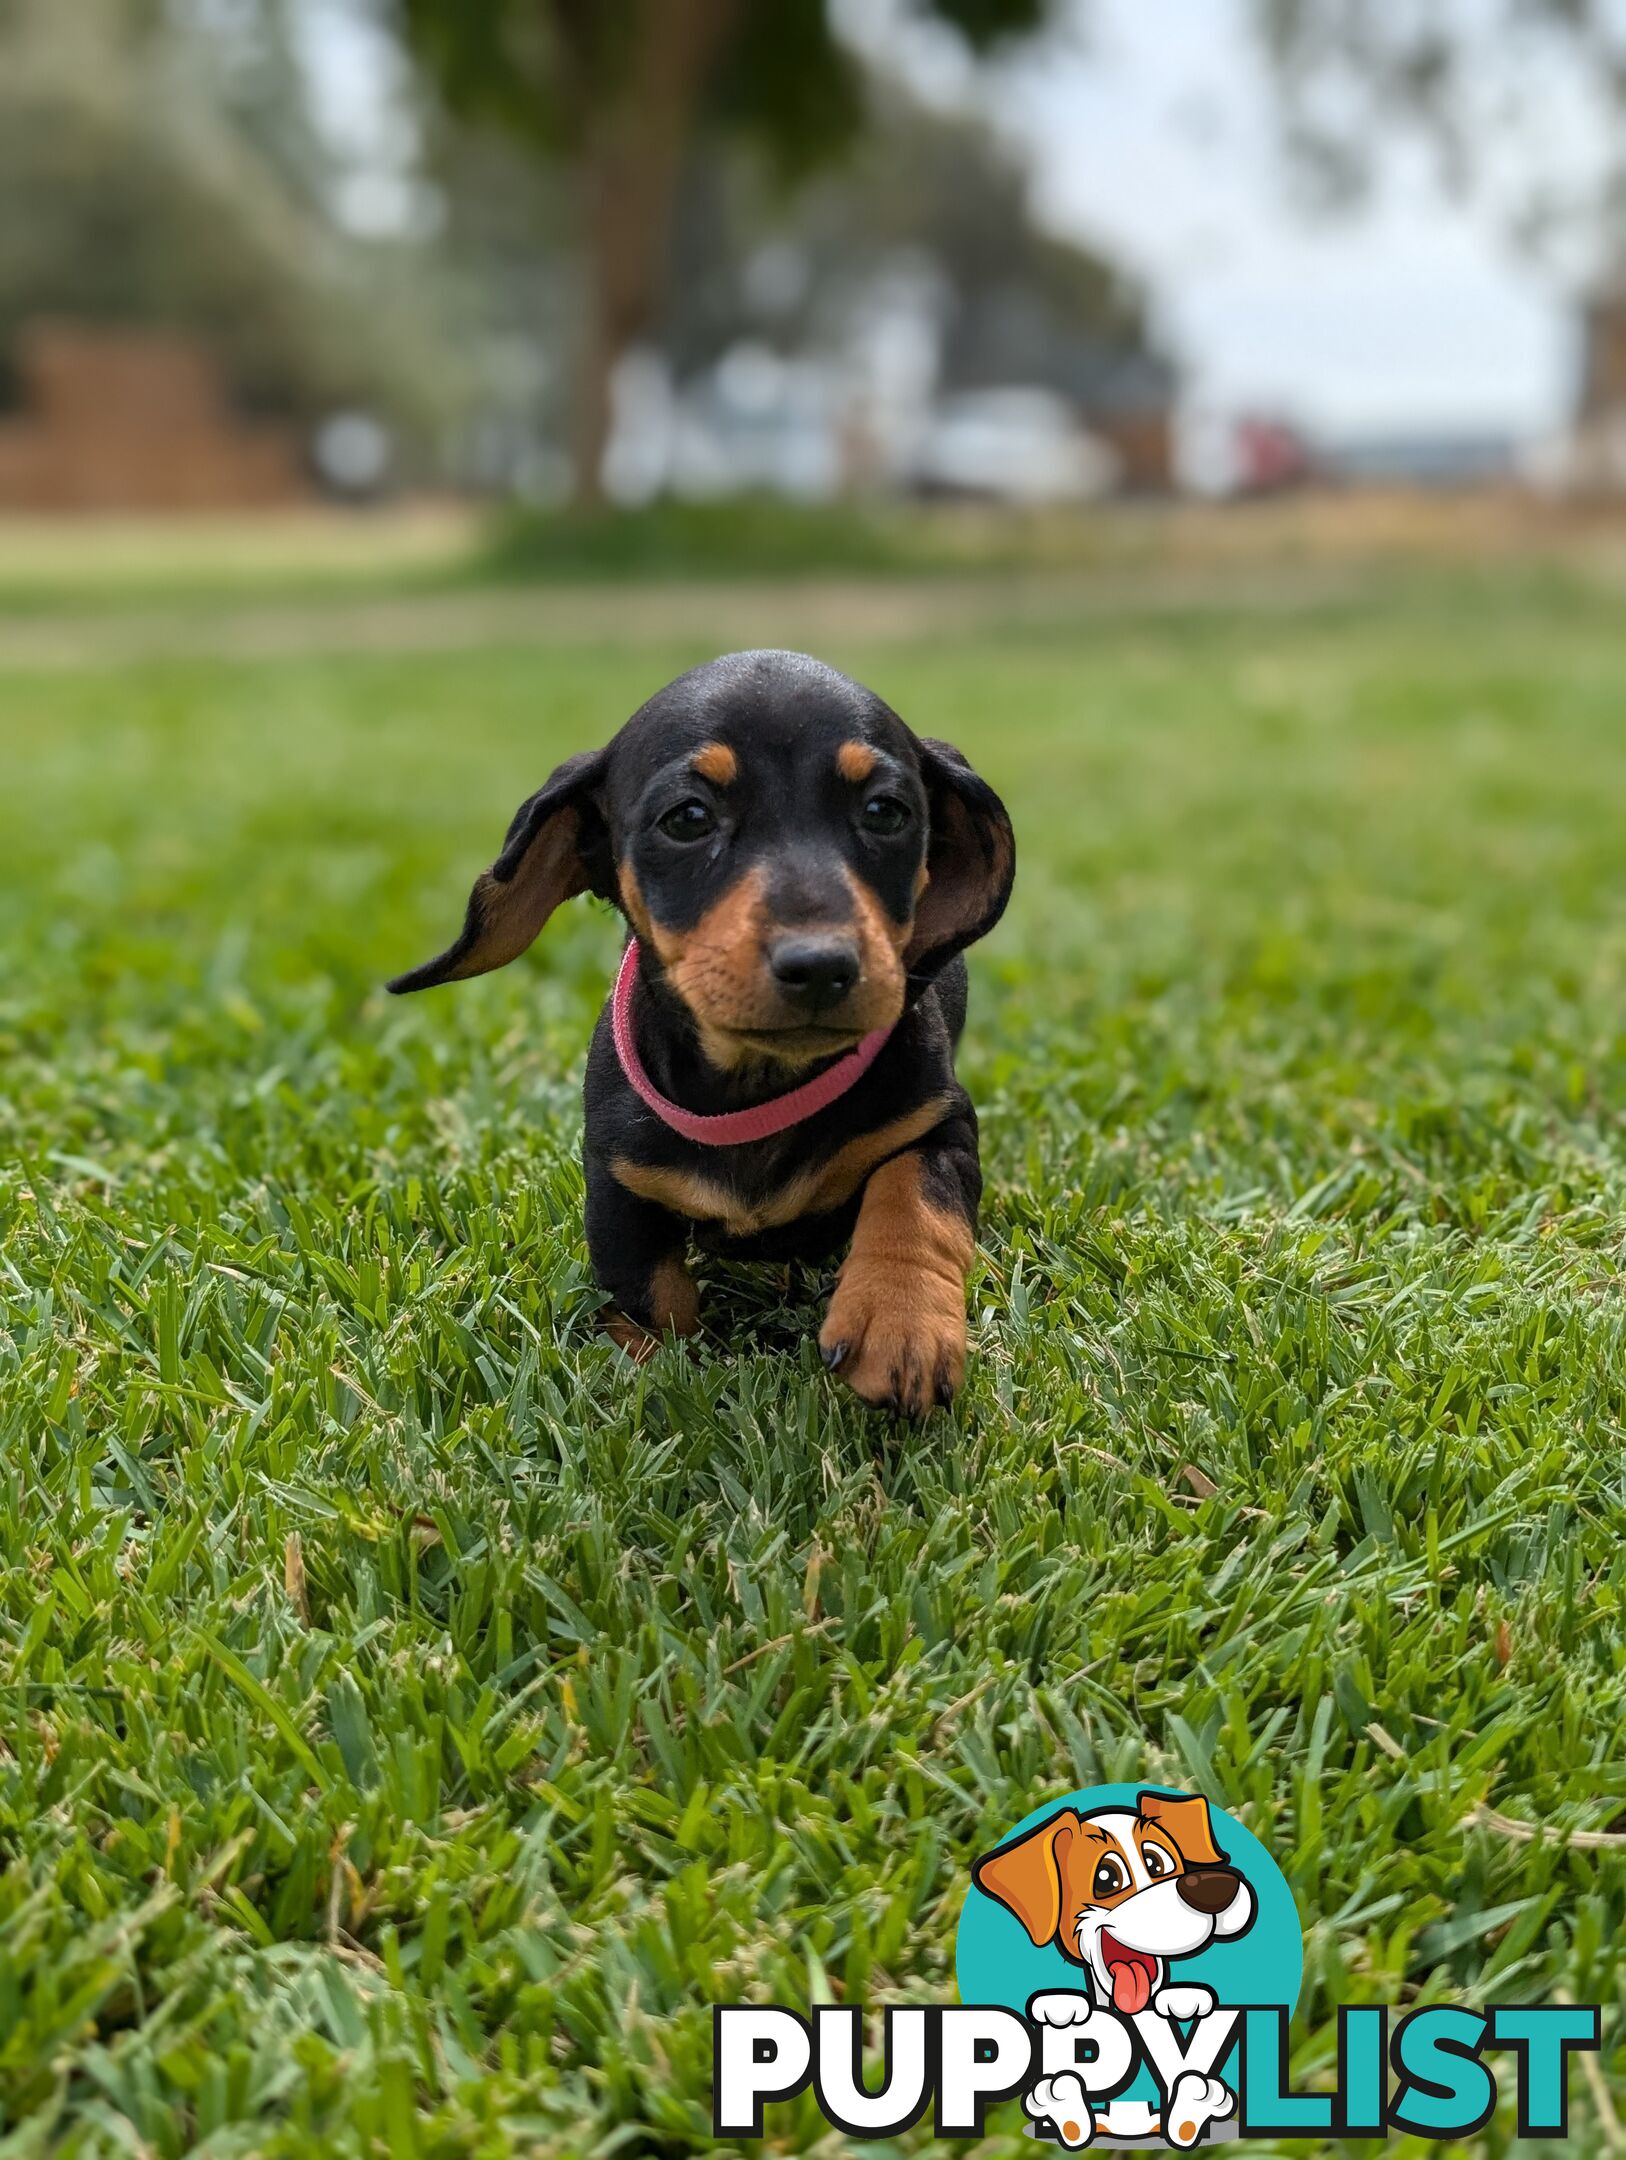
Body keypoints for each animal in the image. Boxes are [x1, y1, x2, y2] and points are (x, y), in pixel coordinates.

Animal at [386, 639, 1010, 1416]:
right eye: (687, 818)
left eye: (886, 812)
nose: (821, 966)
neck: (756, 1085)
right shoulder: (617, 1178)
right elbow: (647, 1290)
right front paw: (654, 1373)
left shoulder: (940, 1121)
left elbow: (916, 1195)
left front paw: (901, 1323)